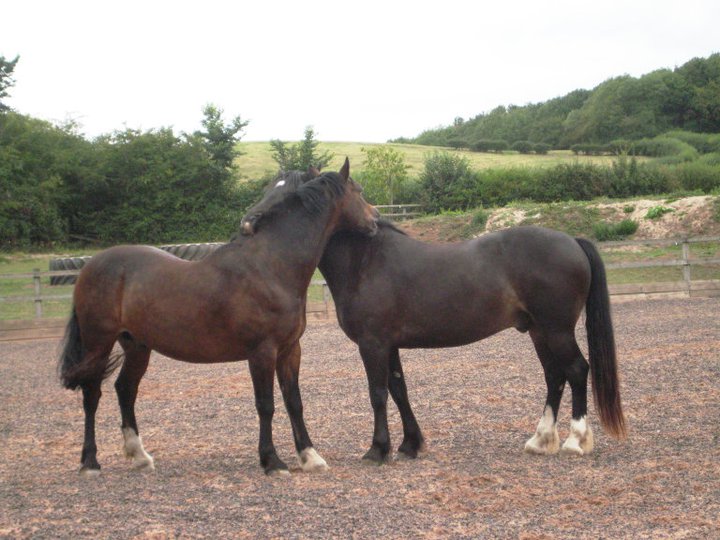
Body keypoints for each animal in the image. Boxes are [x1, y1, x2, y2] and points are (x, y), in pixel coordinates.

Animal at [57, 159, 379, 477]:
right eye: (359, 190)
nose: (375, 217)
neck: (270, 266)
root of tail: (91, 267)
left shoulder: (290, 349)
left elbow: (294, 401)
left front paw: (310, 456)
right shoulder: (262, 352)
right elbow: (266, 404)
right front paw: (272, 461)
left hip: (137, 346)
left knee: (125, 389)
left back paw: (139, 456)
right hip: (98, 343)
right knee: (91, 394)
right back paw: (90, 462)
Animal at [252, 170, 626, 464]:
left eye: (290, 194)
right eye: (271, 185)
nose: (249, 221)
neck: (366, 260)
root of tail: (572, 241)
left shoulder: (373, 344)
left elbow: (378, 393)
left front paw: (378, 449)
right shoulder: (389, 344)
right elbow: (398, 389)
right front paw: (409, 445)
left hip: (557, 329)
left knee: (576, 370)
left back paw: (575, 442)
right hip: (538, 331)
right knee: (554, 376)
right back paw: (541, 440)